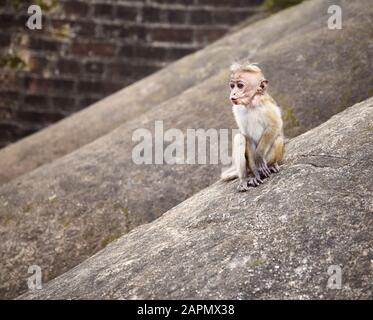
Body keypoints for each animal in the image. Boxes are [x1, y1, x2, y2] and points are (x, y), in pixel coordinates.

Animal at [221, 63, 284, 192]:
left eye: (240, 86)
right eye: (232, 86)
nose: (233, 94)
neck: (250, 103)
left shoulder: (266, 104)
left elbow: (275, 125)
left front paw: (259, 155)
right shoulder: (237, 109)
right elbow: (246, 136)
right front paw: (256, 173)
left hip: (271, 158)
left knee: (278, 138)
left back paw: (272, 165)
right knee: (239, 138)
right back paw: (245, 179)